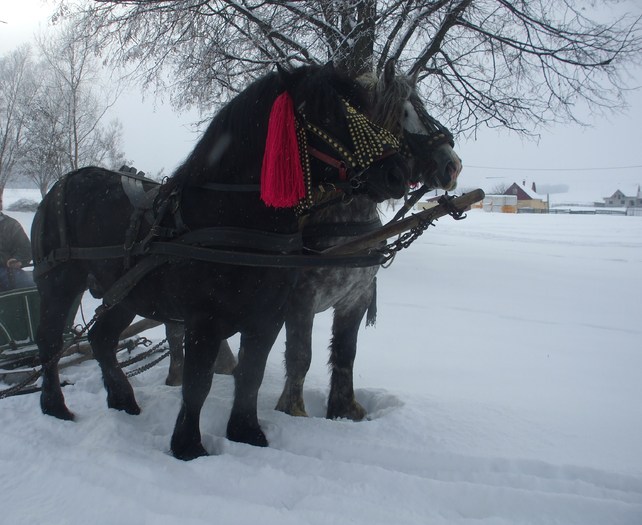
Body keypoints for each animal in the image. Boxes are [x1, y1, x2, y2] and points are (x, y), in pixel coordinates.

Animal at [30, 64, 408, 458]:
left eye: (363, 108)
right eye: (325, 111)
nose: (397, 173)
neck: (229, 218)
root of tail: (60, 185)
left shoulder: (267, 318)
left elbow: (251, 375)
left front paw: (247, 433)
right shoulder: (204, 320)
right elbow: (198, 383)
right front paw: (188, 447)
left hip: (125, 295)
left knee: (101, 338)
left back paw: (122, 400)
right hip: (59, 284)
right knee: (50, 343)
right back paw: (55, 406)